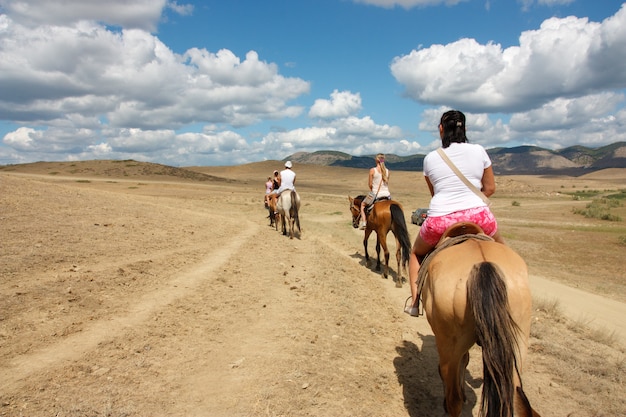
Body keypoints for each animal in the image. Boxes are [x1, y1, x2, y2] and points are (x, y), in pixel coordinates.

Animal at [420, 224, 540, 416]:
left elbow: (463, 362)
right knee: (516, 397)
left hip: (449, 347)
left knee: (454, 398)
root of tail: (484, 264)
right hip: (518, 343)